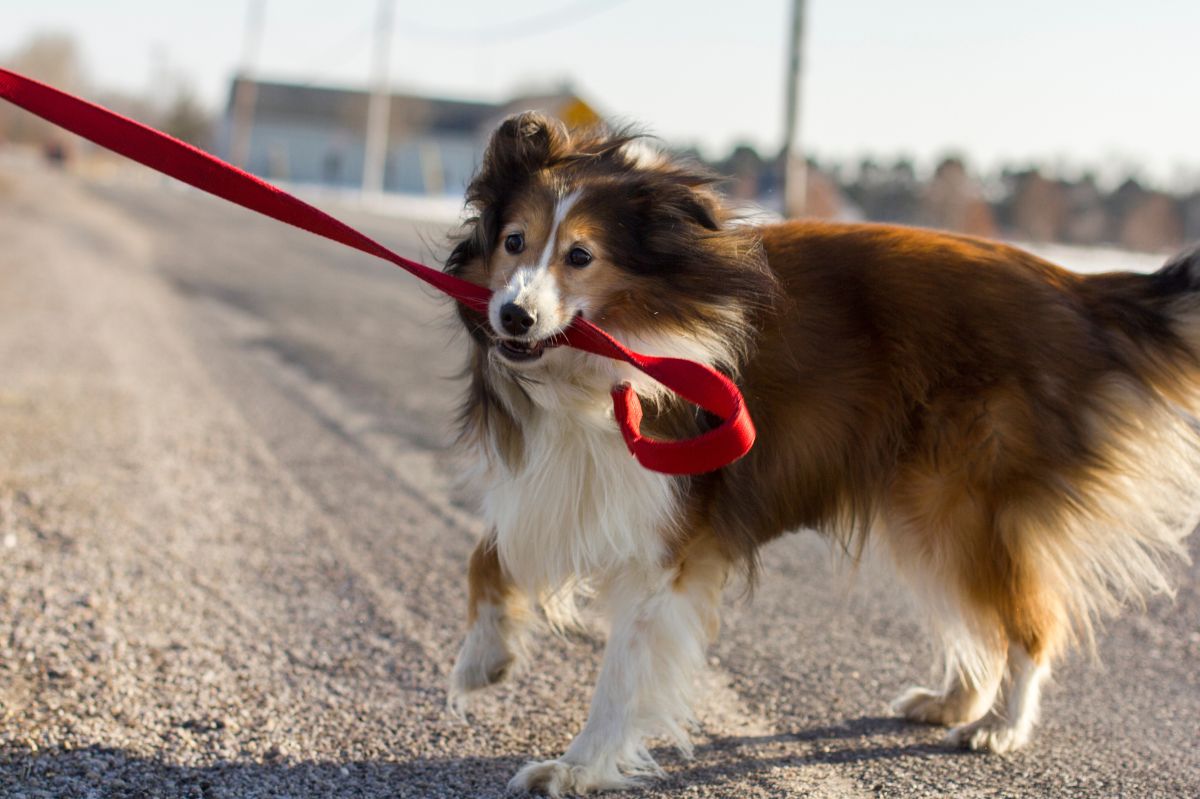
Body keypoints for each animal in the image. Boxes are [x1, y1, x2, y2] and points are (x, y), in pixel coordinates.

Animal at [444, 110, 1200, 791]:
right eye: (513, 241)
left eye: (581, 255)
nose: (513, 316)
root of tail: (1079, 289)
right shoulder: (570, 477)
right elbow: (489, 552)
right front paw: (485, 658)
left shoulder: (668, 531)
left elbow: (624, 666)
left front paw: (577, 766)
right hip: (923, 505)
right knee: (976, 615)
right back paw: (954, 700)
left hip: (966, 499)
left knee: (1030, 624)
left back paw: (999, 726)